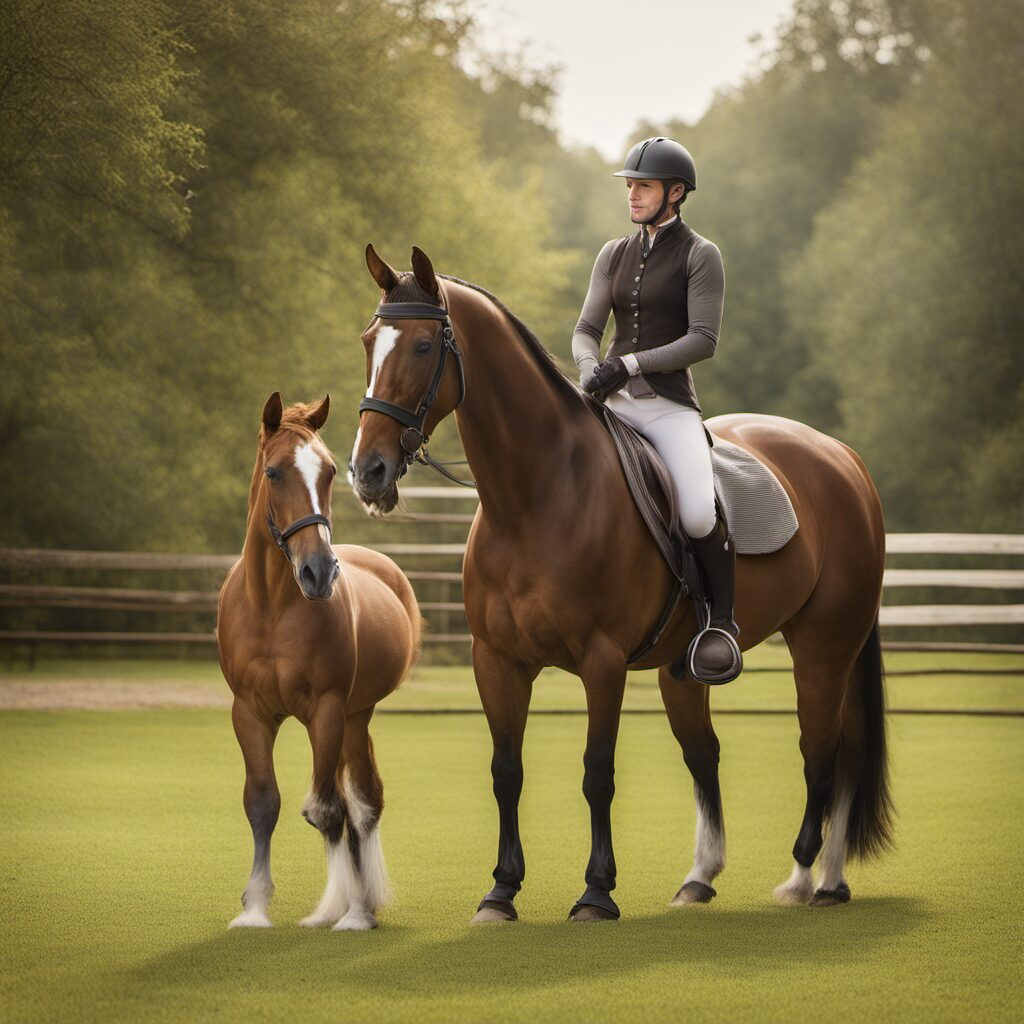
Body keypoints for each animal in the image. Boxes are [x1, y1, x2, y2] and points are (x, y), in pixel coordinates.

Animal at [218, 392, 421, 930]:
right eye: (273, 472)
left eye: (329, 471)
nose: (319, 571)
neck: (271, 605)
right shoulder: (249, 713)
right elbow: (262, 803)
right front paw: (254, 908)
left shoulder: (326, 711)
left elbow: (329, 810)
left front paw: (351, 909)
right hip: (350, 719)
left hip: (354, 715)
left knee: (362, 804)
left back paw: (359, 904)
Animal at [349, 245, 893, 923]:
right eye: (368, 342)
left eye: (425, 346)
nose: (368, 472)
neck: (536, 495)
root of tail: (844, 458)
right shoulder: (496, 661)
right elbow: (507, 771)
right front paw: (501, 890)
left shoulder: (601, 661)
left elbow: (596, 772)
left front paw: (596, 891)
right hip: (687, 670)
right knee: (707, 754)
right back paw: (702, 880)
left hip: (824, 645)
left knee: (826, 752)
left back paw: (813, 879)